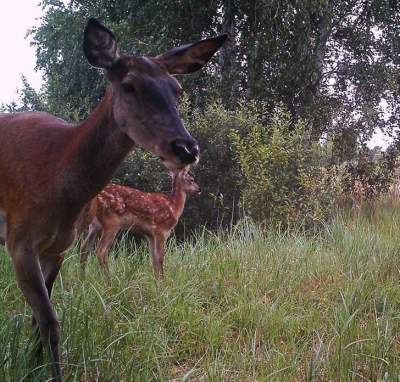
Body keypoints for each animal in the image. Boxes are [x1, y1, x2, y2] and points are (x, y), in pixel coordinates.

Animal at [0, 18, 225, 382]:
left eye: (177, 89)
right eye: (129, 86)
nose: (186, 148)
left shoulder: (58, 246)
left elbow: (38, 321)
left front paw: (34, 368)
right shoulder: (19, 239)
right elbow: (50, 322)